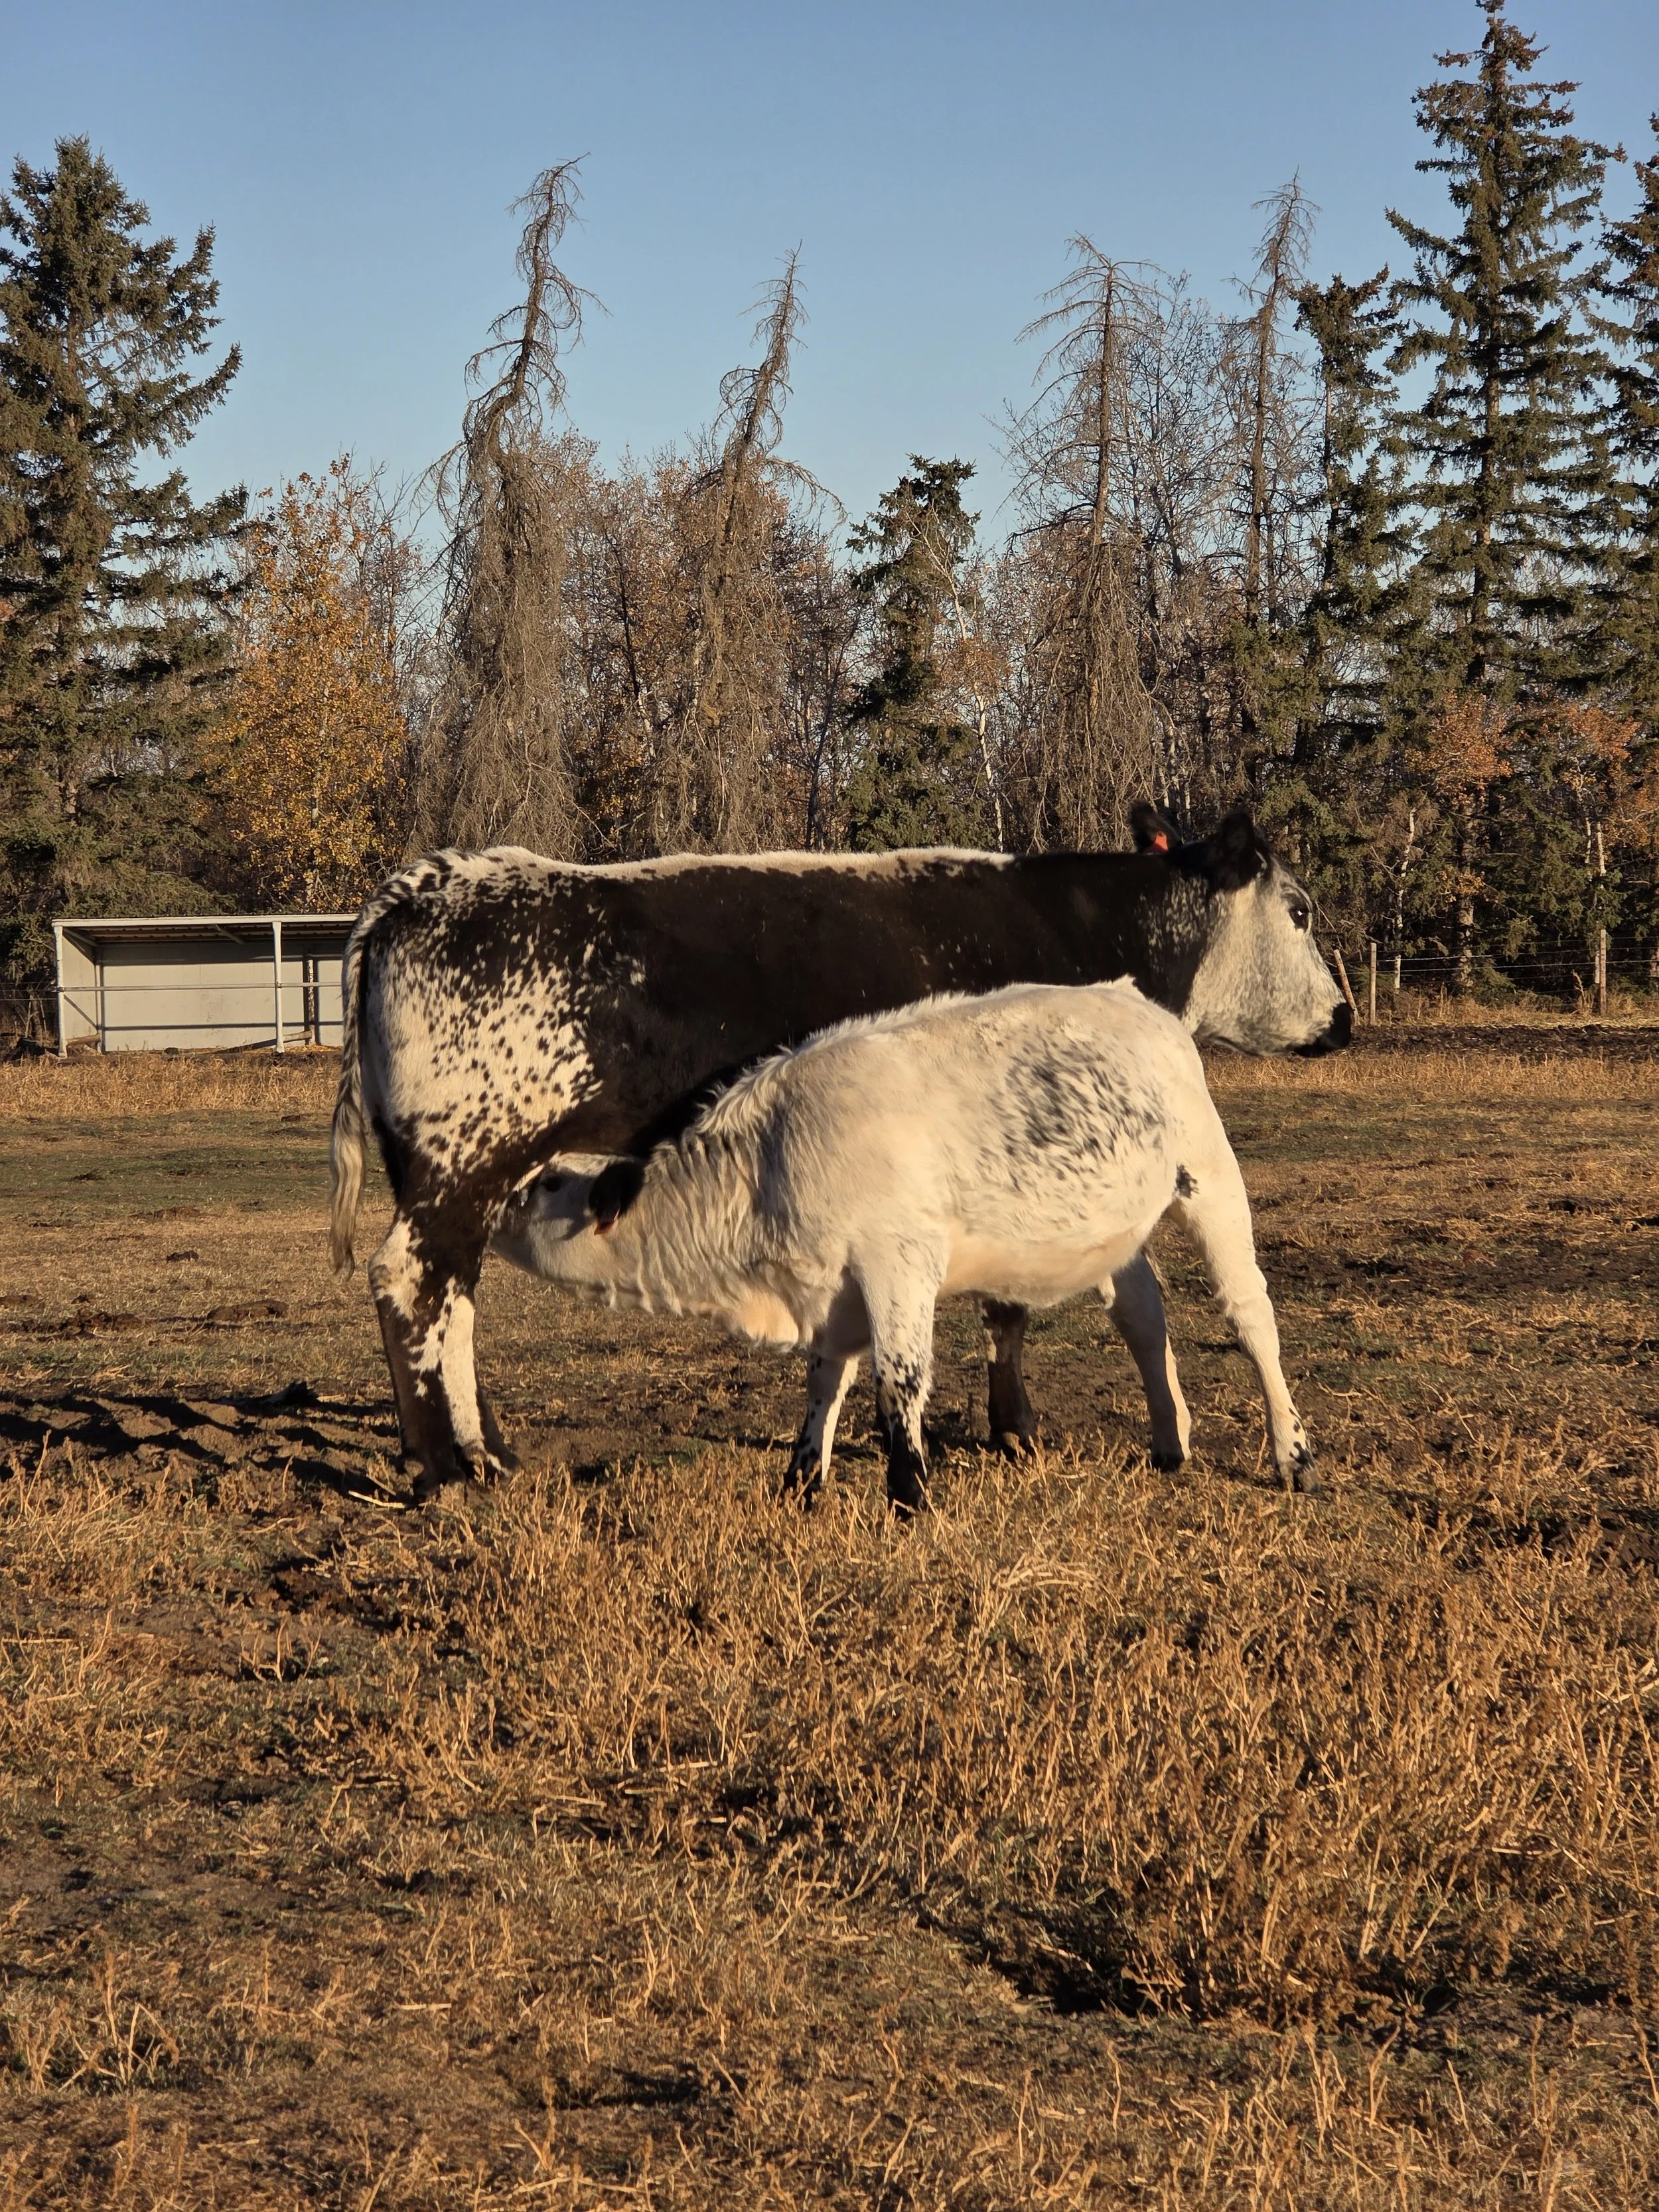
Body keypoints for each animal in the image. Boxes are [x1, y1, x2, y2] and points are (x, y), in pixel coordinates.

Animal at [490, 981, 1315, 1508]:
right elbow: (824, 1383)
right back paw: (1170, 1441)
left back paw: (1291, 1452)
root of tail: (1135, 999)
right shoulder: (834, 1289)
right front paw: (801, 1484)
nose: (492, 1198)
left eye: (545, 1182)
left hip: (1208, 1179)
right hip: (1115, 1231)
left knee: (1251, 1316)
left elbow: (899, 1382)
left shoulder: (898, 1262)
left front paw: (910, 1493)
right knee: (1143, 1316)